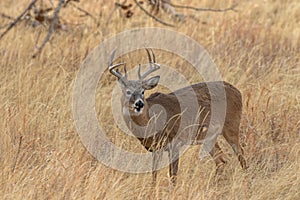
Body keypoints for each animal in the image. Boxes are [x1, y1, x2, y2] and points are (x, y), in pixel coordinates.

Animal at [109, 48, 247, 188]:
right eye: (127, 92)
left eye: (143, 91)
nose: (139, 104)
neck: (152, 121)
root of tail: (238, 92)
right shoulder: (156, 148)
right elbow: (154, 174)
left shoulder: (175, 142)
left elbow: (173, 175)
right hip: (208, 137)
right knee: (221, 160)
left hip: (231, 126)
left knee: (241, 155)